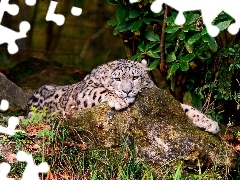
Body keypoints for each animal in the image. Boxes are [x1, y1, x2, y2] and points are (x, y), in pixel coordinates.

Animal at [27, 59, 220, 134]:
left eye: (135, 77)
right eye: (118, 79)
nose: (127, 91)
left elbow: (185, 108)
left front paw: (209, 123)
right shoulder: (84, 91)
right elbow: (99, 91)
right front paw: (119, 100)